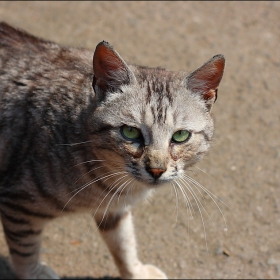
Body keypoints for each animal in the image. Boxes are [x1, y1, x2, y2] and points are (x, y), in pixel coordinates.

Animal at [0, 22, 224, 280]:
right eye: (130, 132)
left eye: (180, 136)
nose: (156, 170)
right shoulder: (18, 205)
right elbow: (25, 253)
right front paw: (35, 273)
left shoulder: (115, 209)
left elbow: (124, 244)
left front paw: (136, 272)